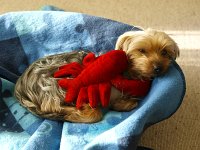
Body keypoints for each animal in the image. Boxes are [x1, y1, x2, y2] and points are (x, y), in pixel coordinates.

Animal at [14, 28, 180, 123]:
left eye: (164, 52)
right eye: (142, 50)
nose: (158, 68)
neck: (129, 74)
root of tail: (20, 86)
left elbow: (130, 103)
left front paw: (123, 103)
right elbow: (95, 110)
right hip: (54, 84)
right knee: (51, 105)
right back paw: (70, 113)